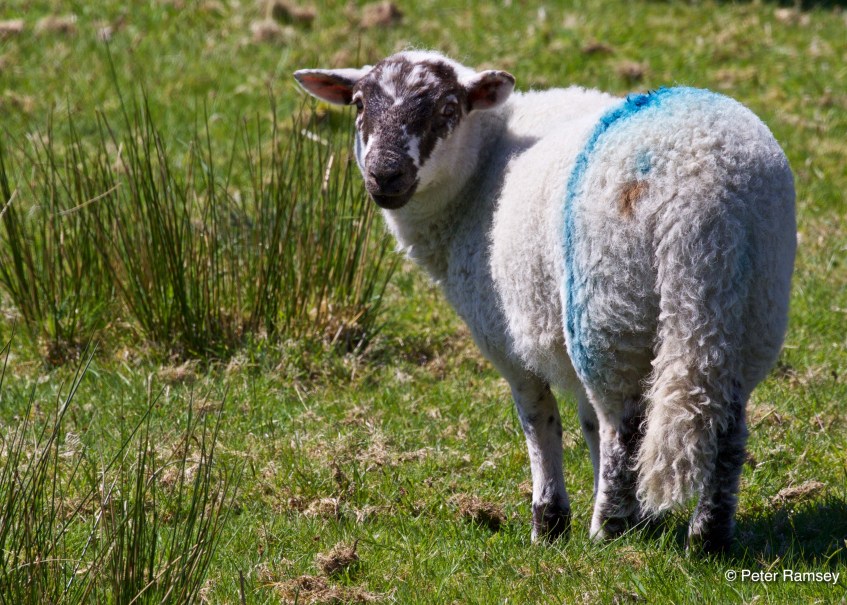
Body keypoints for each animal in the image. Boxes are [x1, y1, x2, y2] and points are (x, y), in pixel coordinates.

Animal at [294, 50, 796, 553]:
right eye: (359, 105)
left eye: (447, 109)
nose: (385, 175)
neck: (483, 168)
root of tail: (699, 192)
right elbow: (585, 423)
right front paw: (635, 519)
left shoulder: (507, 341)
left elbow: (540, 421)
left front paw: (550, 522)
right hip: (750, 304)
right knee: (725, 427)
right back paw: (706, 536)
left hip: (609, 304)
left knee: (622, 424)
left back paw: (608, 529)